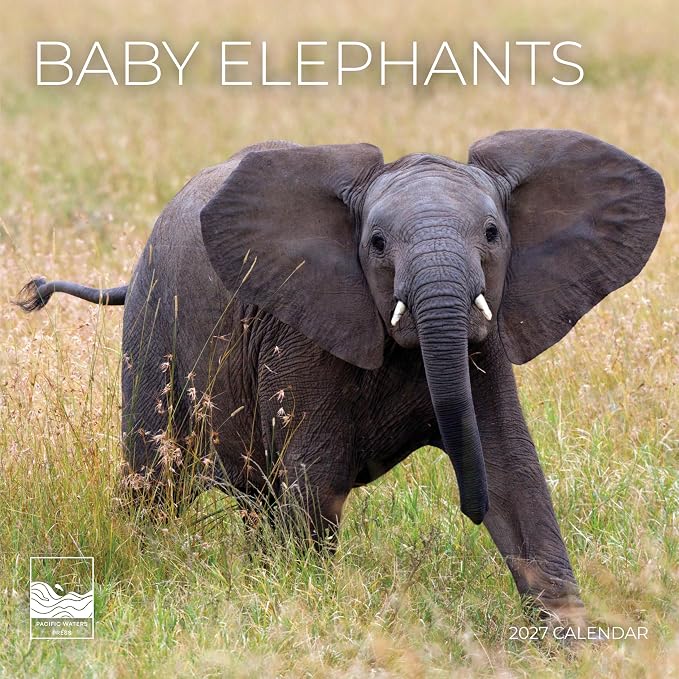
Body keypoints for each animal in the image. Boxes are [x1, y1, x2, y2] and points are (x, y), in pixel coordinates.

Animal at [15, 130, 665, 627]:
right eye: (375, 244)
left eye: (492, 234)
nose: (468, 506)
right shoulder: (300, 329)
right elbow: (316, 476)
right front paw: (308, 602)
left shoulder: (487, 339)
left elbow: (514, 471)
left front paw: (574, 642)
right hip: (154, 329)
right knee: (156, 478)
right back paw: (150, 555)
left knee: (255, 496)